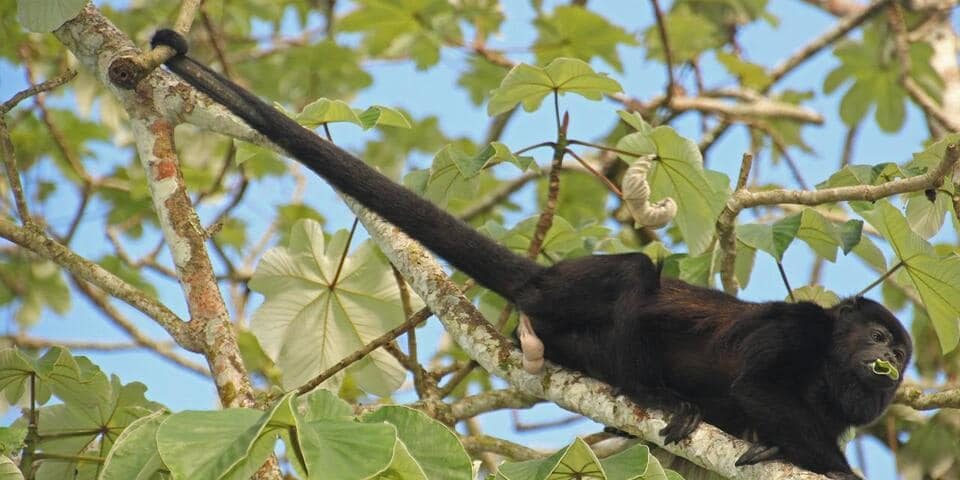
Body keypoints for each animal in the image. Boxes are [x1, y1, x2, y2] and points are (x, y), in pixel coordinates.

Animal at [149, 29, 911, 478]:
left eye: (901, 355)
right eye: (879, 338)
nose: (893, 365)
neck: (830, 366)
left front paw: (772, 443)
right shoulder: (800, 326)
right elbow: (758, 386)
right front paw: (833, 467)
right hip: (566, 291)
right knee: (636, 273)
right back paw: (653, 393)